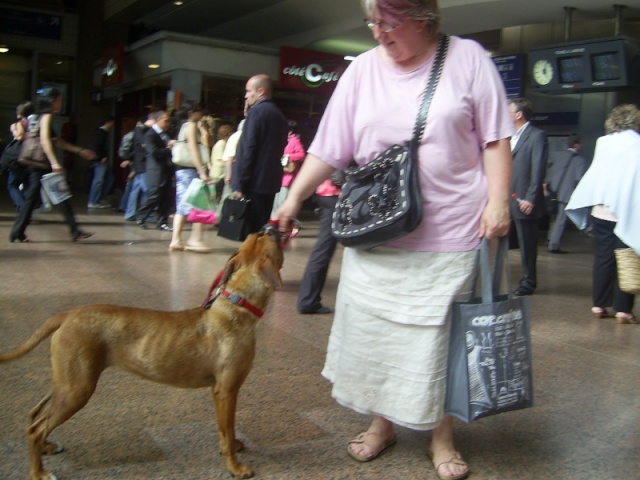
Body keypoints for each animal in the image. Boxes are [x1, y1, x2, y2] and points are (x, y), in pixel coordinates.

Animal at [0, 227, 284, 478]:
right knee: (36, 429)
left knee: (36, 415)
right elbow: (227, 428)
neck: (237, 305)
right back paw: (38, 473)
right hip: (77, 389)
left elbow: (226, 428)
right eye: (269, 237)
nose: (272, 226)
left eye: (257, 234)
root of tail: (67, 314)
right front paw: (235, 466)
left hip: (67, 381)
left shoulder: (222, 391)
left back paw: (46, 447)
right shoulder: (226, 390)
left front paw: (233, 446)